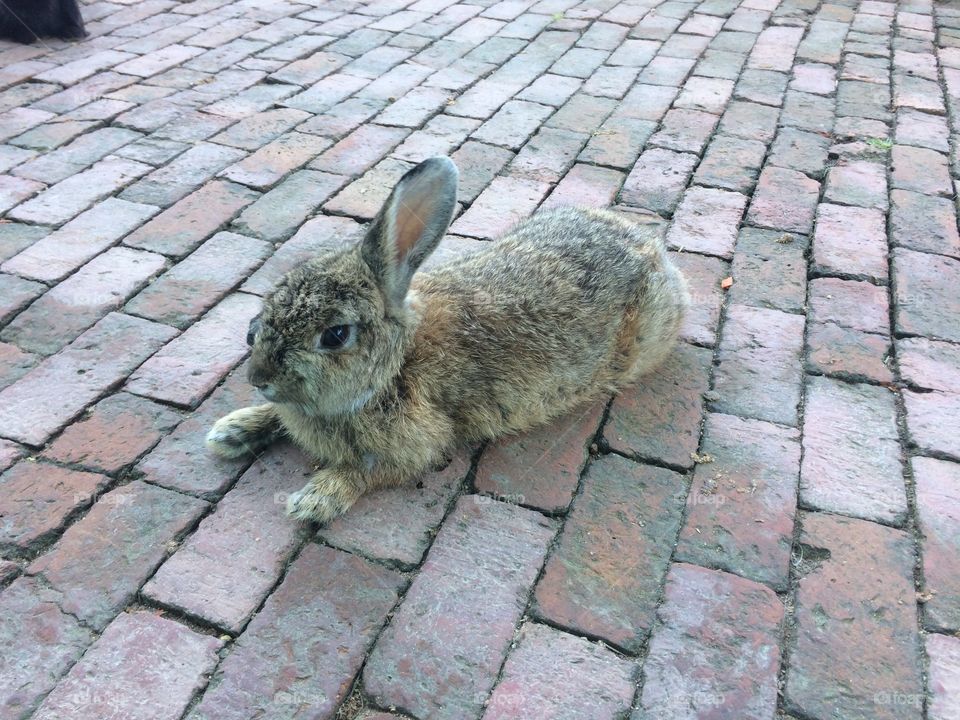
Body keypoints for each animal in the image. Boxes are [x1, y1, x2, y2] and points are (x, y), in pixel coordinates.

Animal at [206, 157, 689, 523]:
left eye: (335, 335)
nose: (259, 377)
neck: (397, 364)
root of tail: (655, 252)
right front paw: (231, 431)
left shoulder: (415, 447)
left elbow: (368, 471)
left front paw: (314, 500)